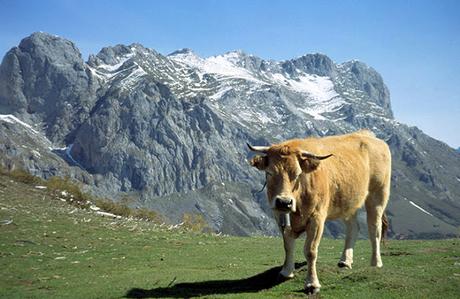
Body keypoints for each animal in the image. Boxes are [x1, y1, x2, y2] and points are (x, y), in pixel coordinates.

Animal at [248, 130, 392, 294]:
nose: (284, 202)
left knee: (375, 229)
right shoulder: (279, 215)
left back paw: (376, 263)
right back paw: (345, 261)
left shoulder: (316, 218)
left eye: (297, 174)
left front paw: (312, 284)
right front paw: (286, 272)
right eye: (270, 173)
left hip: (378, 195)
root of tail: (368, 135)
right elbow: (287, 245)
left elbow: (310, 251)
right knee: (353, 228)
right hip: (349, 201)